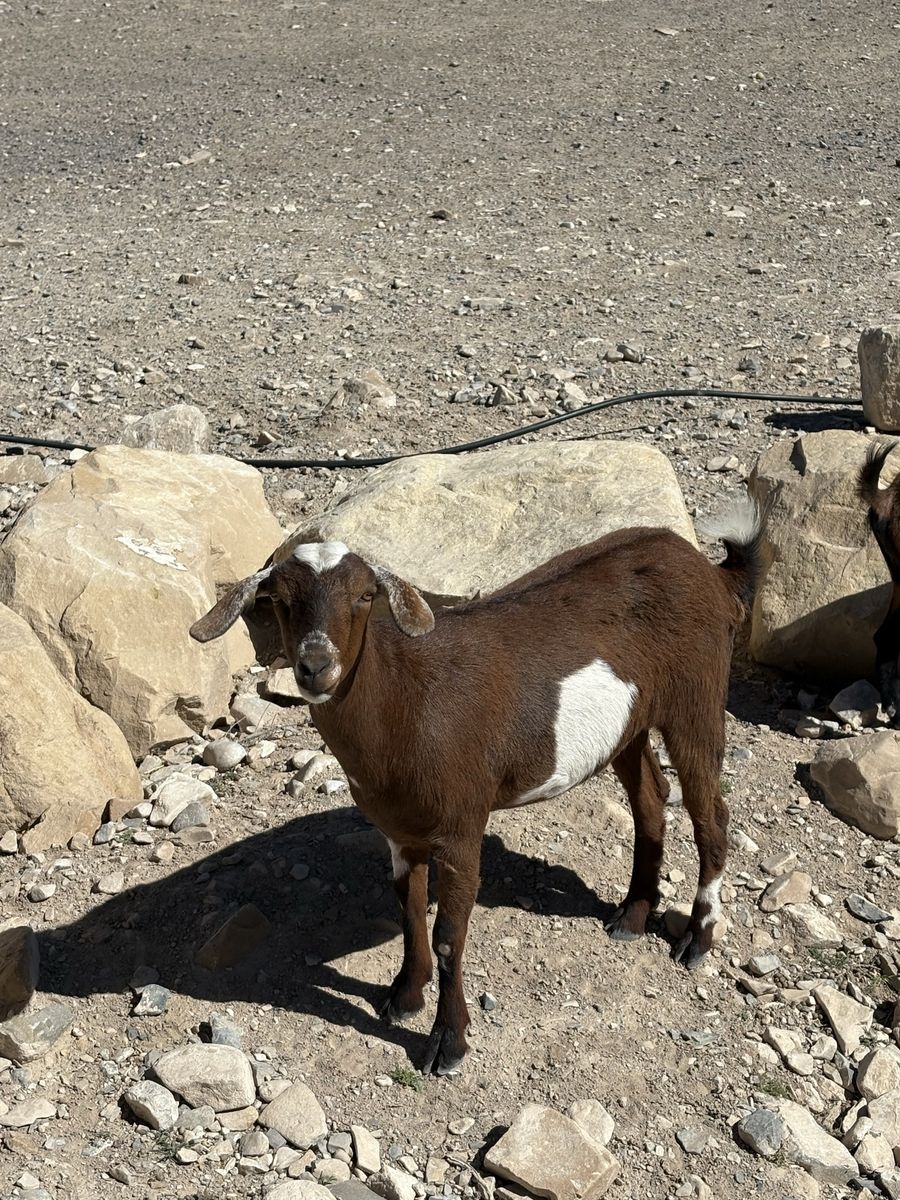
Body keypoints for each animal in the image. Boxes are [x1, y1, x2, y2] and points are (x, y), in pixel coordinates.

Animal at [190, 503, 763, 1076]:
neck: (406, 701)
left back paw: (697, 938)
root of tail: (708, 569)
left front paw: (448, 1042)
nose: (315, 666)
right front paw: (404, 996)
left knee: (711, 813)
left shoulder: (462, 825)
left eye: (365, 596)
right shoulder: (399, 830)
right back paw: (633, 915)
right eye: (279, 600)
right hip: (629, 721)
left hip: (697, 694)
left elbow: (448, 936)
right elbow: (408, 906)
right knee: (651, 799)